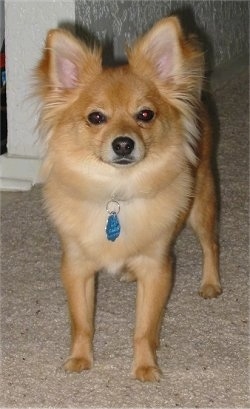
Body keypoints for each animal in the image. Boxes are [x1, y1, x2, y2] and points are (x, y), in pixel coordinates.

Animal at [35, 15, 221, 380]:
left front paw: (145, 366)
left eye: (145, 115)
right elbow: (82, 322)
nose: (123, 143)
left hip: (201, 203)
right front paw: (80, 359)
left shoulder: (157, 268)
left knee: (211, 244)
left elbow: (143, 327)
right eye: (96, 118)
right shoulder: (76, 267)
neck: (116, 192)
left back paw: (210, 283)